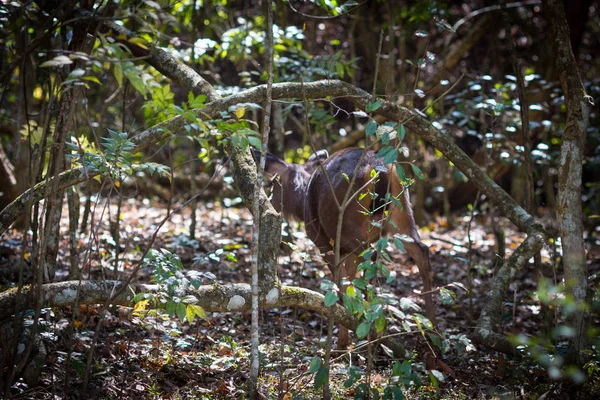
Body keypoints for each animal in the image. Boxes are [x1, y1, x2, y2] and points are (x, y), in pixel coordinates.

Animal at [254, 147, 436, 346]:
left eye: (273, 183)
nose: (269, 202)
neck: (303, 202)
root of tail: (379, 167)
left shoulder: (324, 243)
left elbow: (340, 286)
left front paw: (342, 341)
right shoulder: (348, 251)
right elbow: (350, 281)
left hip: (346, 222)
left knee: (372, 256)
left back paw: (372, 330)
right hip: (402, 211)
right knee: (421, 250)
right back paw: (432, 328)